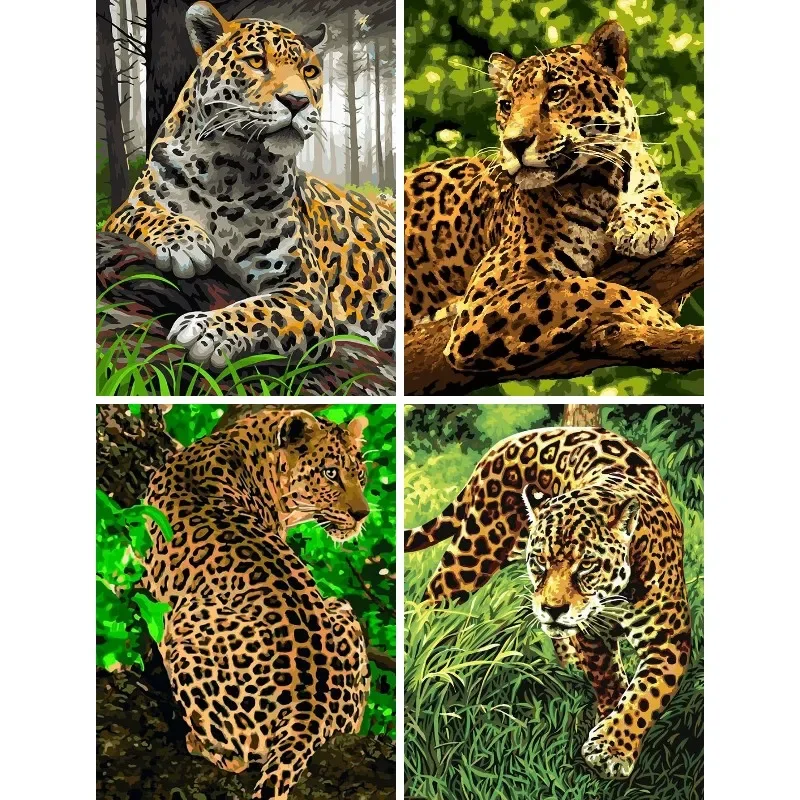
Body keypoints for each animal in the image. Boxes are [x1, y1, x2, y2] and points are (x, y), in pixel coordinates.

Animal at [104, 2, 395, 372]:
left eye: (309, 70)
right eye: (257, 61)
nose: (297, 102)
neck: (229, 169)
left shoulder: (307, 292)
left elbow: (261, 310)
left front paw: (206, 331)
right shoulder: (125, 209)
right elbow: (145, 214)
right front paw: (187, 242)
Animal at [141, 408, 373, 799]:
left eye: (361, 474)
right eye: (331, 473)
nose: (362, 514)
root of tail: (311, 711)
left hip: (185, 621)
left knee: (239, 757)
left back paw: (198, 743)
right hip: (340, 609)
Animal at [404, 21, 701, 384]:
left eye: (557, 93)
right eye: (506, 105)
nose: (514, 143)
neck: (602, 183)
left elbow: (659, 200)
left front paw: (643, 225)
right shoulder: (479, 307)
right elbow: (576, 289)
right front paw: (651, 316)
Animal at [405, 426, 691, 780]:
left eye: (586, 565)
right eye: (541, 560)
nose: (554, 609)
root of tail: (502, 445)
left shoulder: (668, 638)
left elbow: (646, 695)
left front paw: (611, 748)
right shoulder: (591, 633)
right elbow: (608, 678)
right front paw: (608, 727)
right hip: (472, 555)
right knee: (431, 600)